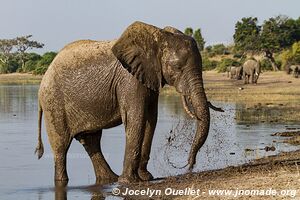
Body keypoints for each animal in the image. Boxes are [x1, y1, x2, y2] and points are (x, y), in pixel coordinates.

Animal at [34, 21, 223, 185]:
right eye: (177, 68)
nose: (189, 165)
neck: (157, 36)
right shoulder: (129, 80)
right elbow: (136, 118)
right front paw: (130, 182)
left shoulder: (148, 76)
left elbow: (151, 119)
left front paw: (145, 178)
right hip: (53, 103)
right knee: (61, 146)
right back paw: (65, 181)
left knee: (91, 141)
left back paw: (110, 180)